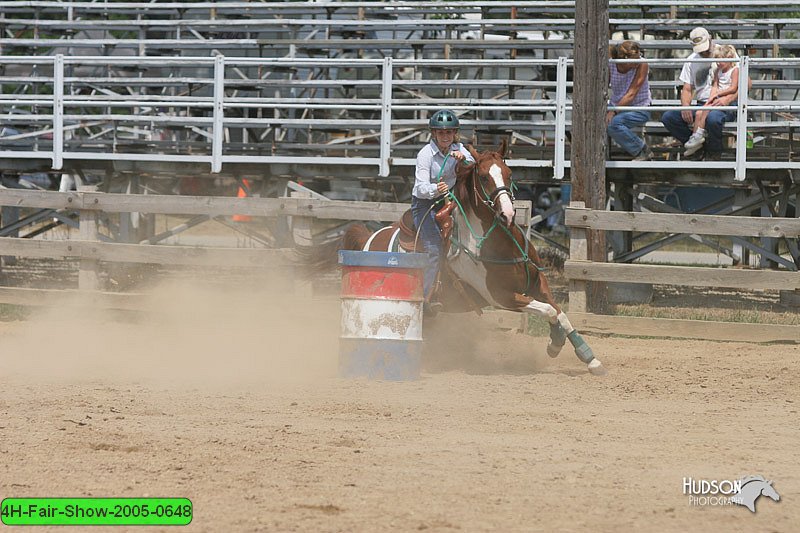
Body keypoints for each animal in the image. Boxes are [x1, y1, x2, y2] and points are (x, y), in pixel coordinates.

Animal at [342, 139, 608, 376]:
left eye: (509, 173)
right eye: (483, 177)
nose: (507, 214)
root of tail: (371, 236)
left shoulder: (538, 283)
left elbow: (559, 312)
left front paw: (587, 357)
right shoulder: (501, 297)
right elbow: (549, 311)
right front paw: (555, 343)